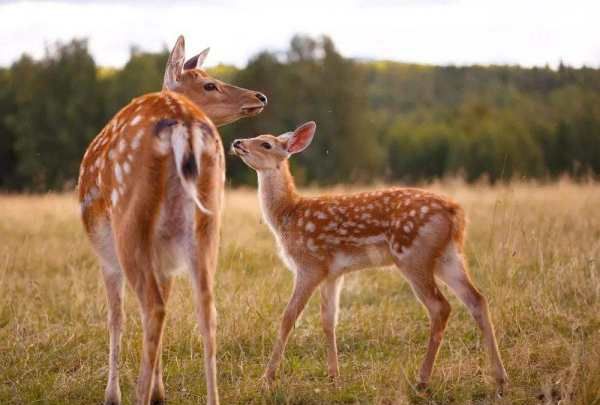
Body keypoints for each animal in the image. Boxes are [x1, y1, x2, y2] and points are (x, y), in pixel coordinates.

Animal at [78, 35, 266, 404]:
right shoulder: (165, 256)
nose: (259, 97)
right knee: (207, 309)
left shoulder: (106, 255)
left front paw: (114, 395)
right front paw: (159, 392)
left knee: (153, 309)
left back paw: (138, 393)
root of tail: (184, 124)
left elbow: (115, 317)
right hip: (208, 222)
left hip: (128, 224)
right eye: (209, 83)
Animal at [232, 122, 508, 394]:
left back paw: (422, 380)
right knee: (477, 299)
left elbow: (288, 317)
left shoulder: (310, 264)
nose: (237, 142)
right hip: (448, 256)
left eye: (266, 143)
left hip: (412, 255)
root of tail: (456, 212)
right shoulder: (333, 273)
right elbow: (328, 320)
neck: (287, 214)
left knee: (440, 307)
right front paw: (334, 378)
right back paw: (500, 379)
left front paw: (267, 379)